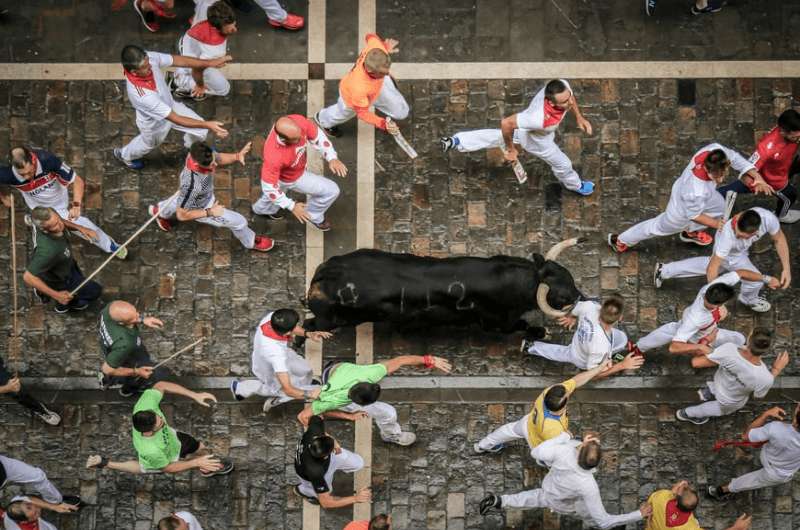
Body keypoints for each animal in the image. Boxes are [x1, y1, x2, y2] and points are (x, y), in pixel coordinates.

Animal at [304, 240, 584, 332]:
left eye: (568, 275)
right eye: (561, 295)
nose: (582, 297)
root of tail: (327, 273)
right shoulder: (496, 324)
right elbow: (521, 328)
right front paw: (540, 332)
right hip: (337, 320)